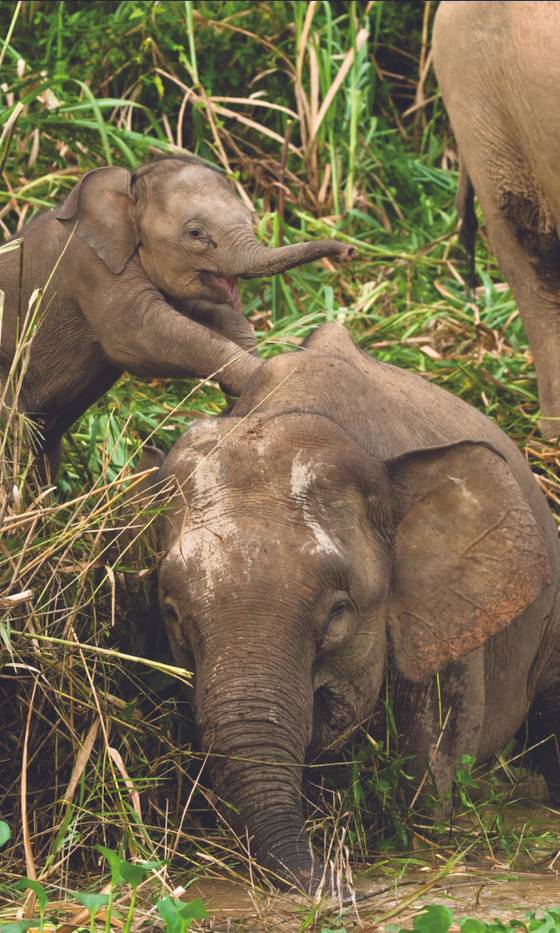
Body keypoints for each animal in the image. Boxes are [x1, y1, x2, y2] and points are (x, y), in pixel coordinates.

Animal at [0, 156, 352, 474]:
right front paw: (278, 376)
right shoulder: (89, 268)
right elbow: (140, 337)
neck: (128, 186)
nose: (349, 251)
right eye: (195, 233)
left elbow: (207, 316)